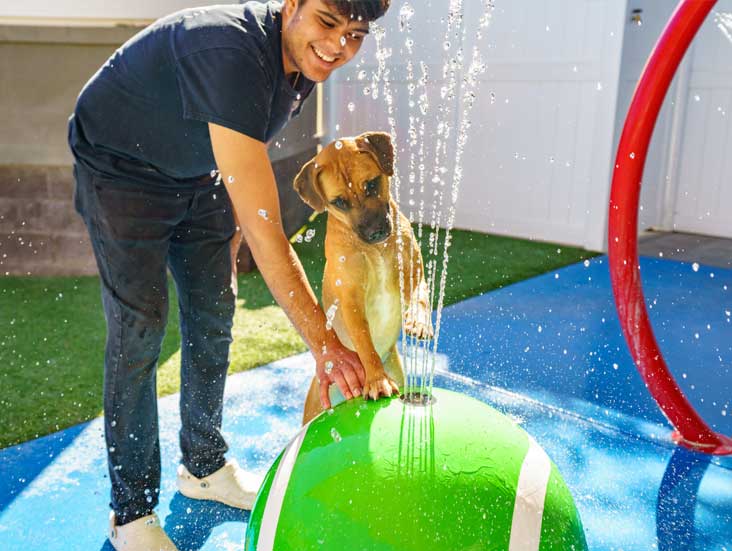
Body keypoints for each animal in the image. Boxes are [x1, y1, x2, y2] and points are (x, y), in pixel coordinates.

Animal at [294, 132, 432, 424]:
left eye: (371, 184)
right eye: (339, 202)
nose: (374, 232)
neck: (375, 250)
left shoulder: (412, 272)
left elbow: (420, 298)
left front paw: (419, 322)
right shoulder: (350, 297)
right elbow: (364, 342)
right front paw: (377, 380)